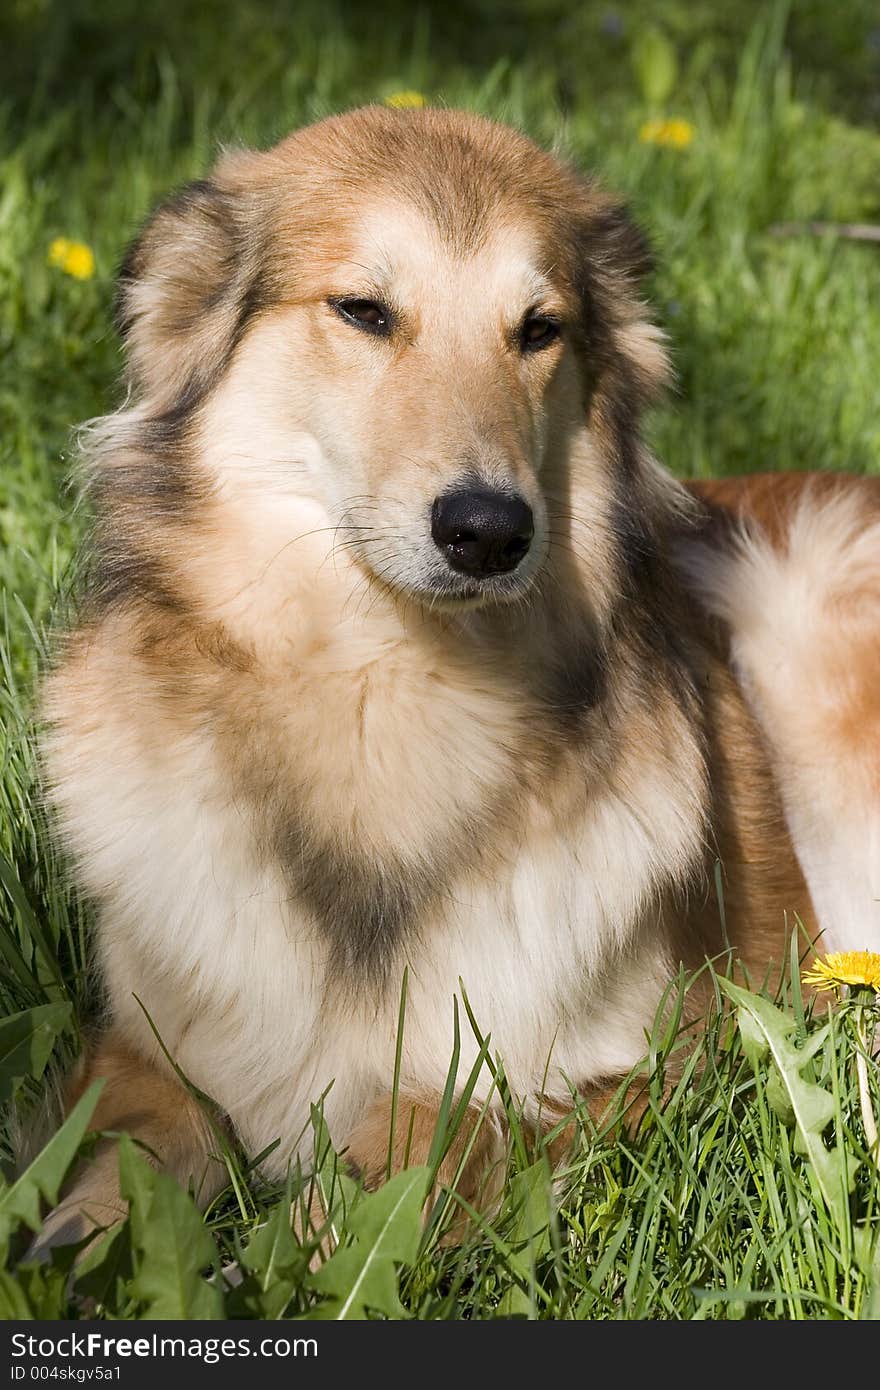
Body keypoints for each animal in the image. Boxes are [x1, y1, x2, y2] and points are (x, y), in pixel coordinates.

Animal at [34, 102, 878, 1245]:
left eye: (539, 329)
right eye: (362, 310)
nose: (489, 533)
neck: (383, 692)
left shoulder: (662, 1062)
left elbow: (423, 1141)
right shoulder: (144, 1049)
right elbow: (119, 1163)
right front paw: (71, 1247)